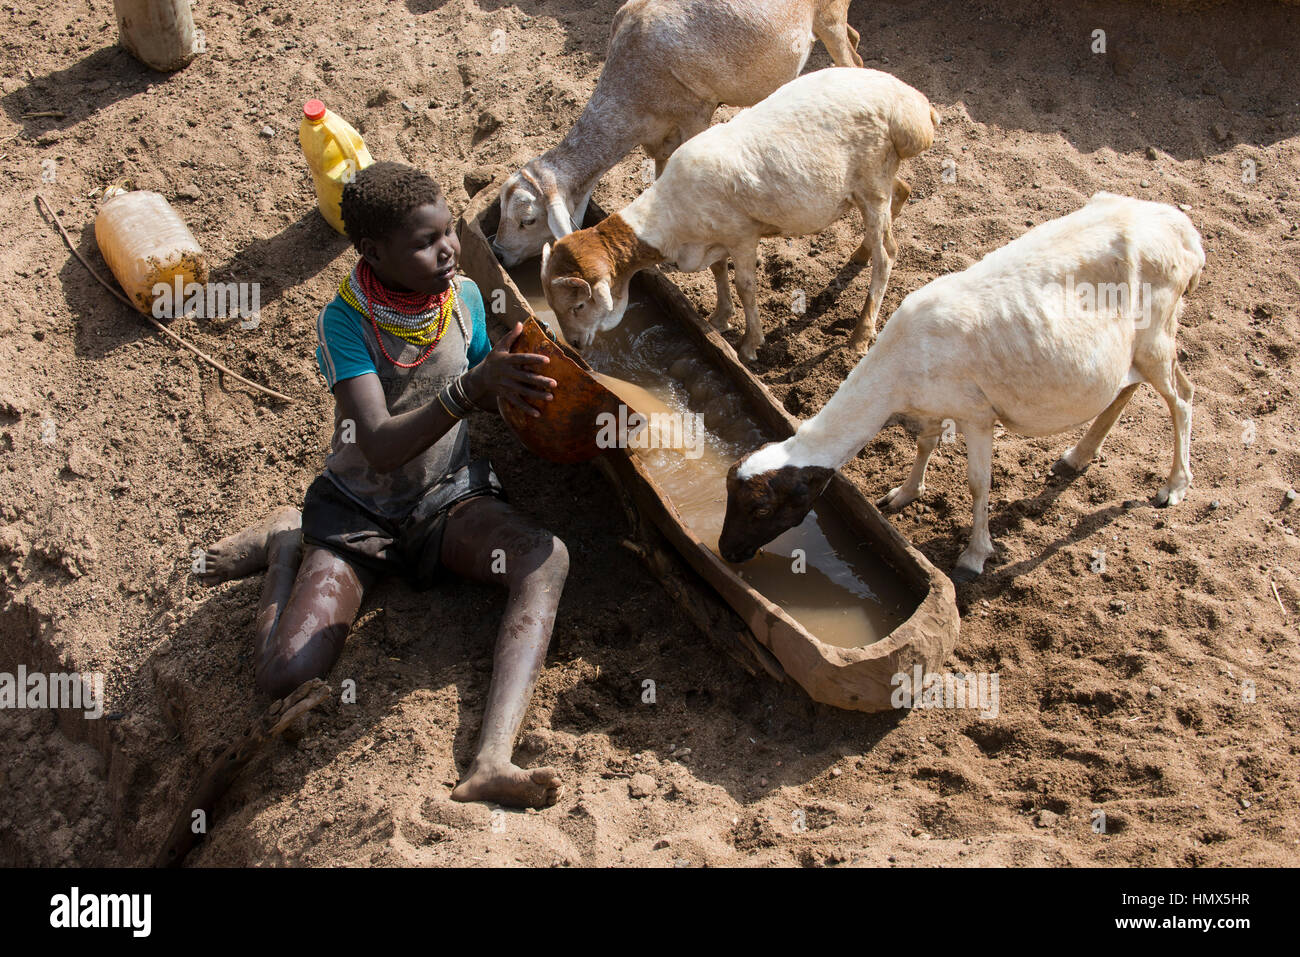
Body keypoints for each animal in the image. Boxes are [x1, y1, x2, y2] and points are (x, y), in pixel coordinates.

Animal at [491, 0, 868, 267]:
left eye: (528, 220)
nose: (498, 254)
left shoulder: (696, 111)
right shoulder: (658, 133)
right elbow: (660, 172)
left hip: (830, 14)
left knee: (851, 61)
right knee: (858, 46)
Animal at [538, 66, 935, 358]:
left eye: (578, 306)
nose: (574, 344)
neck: (669, 218)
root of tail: (915, 109)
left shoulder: (742, 235)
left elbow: (746, 286)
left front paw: (749, 345)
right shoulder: (714, 238)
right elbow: (717, 271)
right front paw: (719, 318)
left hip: (872, 180)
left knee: (888, 254)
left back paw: (860, 335)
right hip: (874, 180)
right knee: (902, 193)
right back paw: (860, 253)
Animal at [717, 193, 1201, 579]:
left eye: (761, 508)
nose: (726, 551)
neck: (895, 375)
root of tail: (1183, 231)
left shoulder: (977, 414)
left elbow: (977, 483)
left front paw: (974, 556)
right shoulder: (932, 403)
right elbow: (925, 445)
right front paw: (903, 495)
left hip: (1158, 331)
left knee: (1182, 397)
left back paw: (1174, 486)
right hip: (1133, 347)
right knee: (1126, 389)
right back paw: (1078, 456)